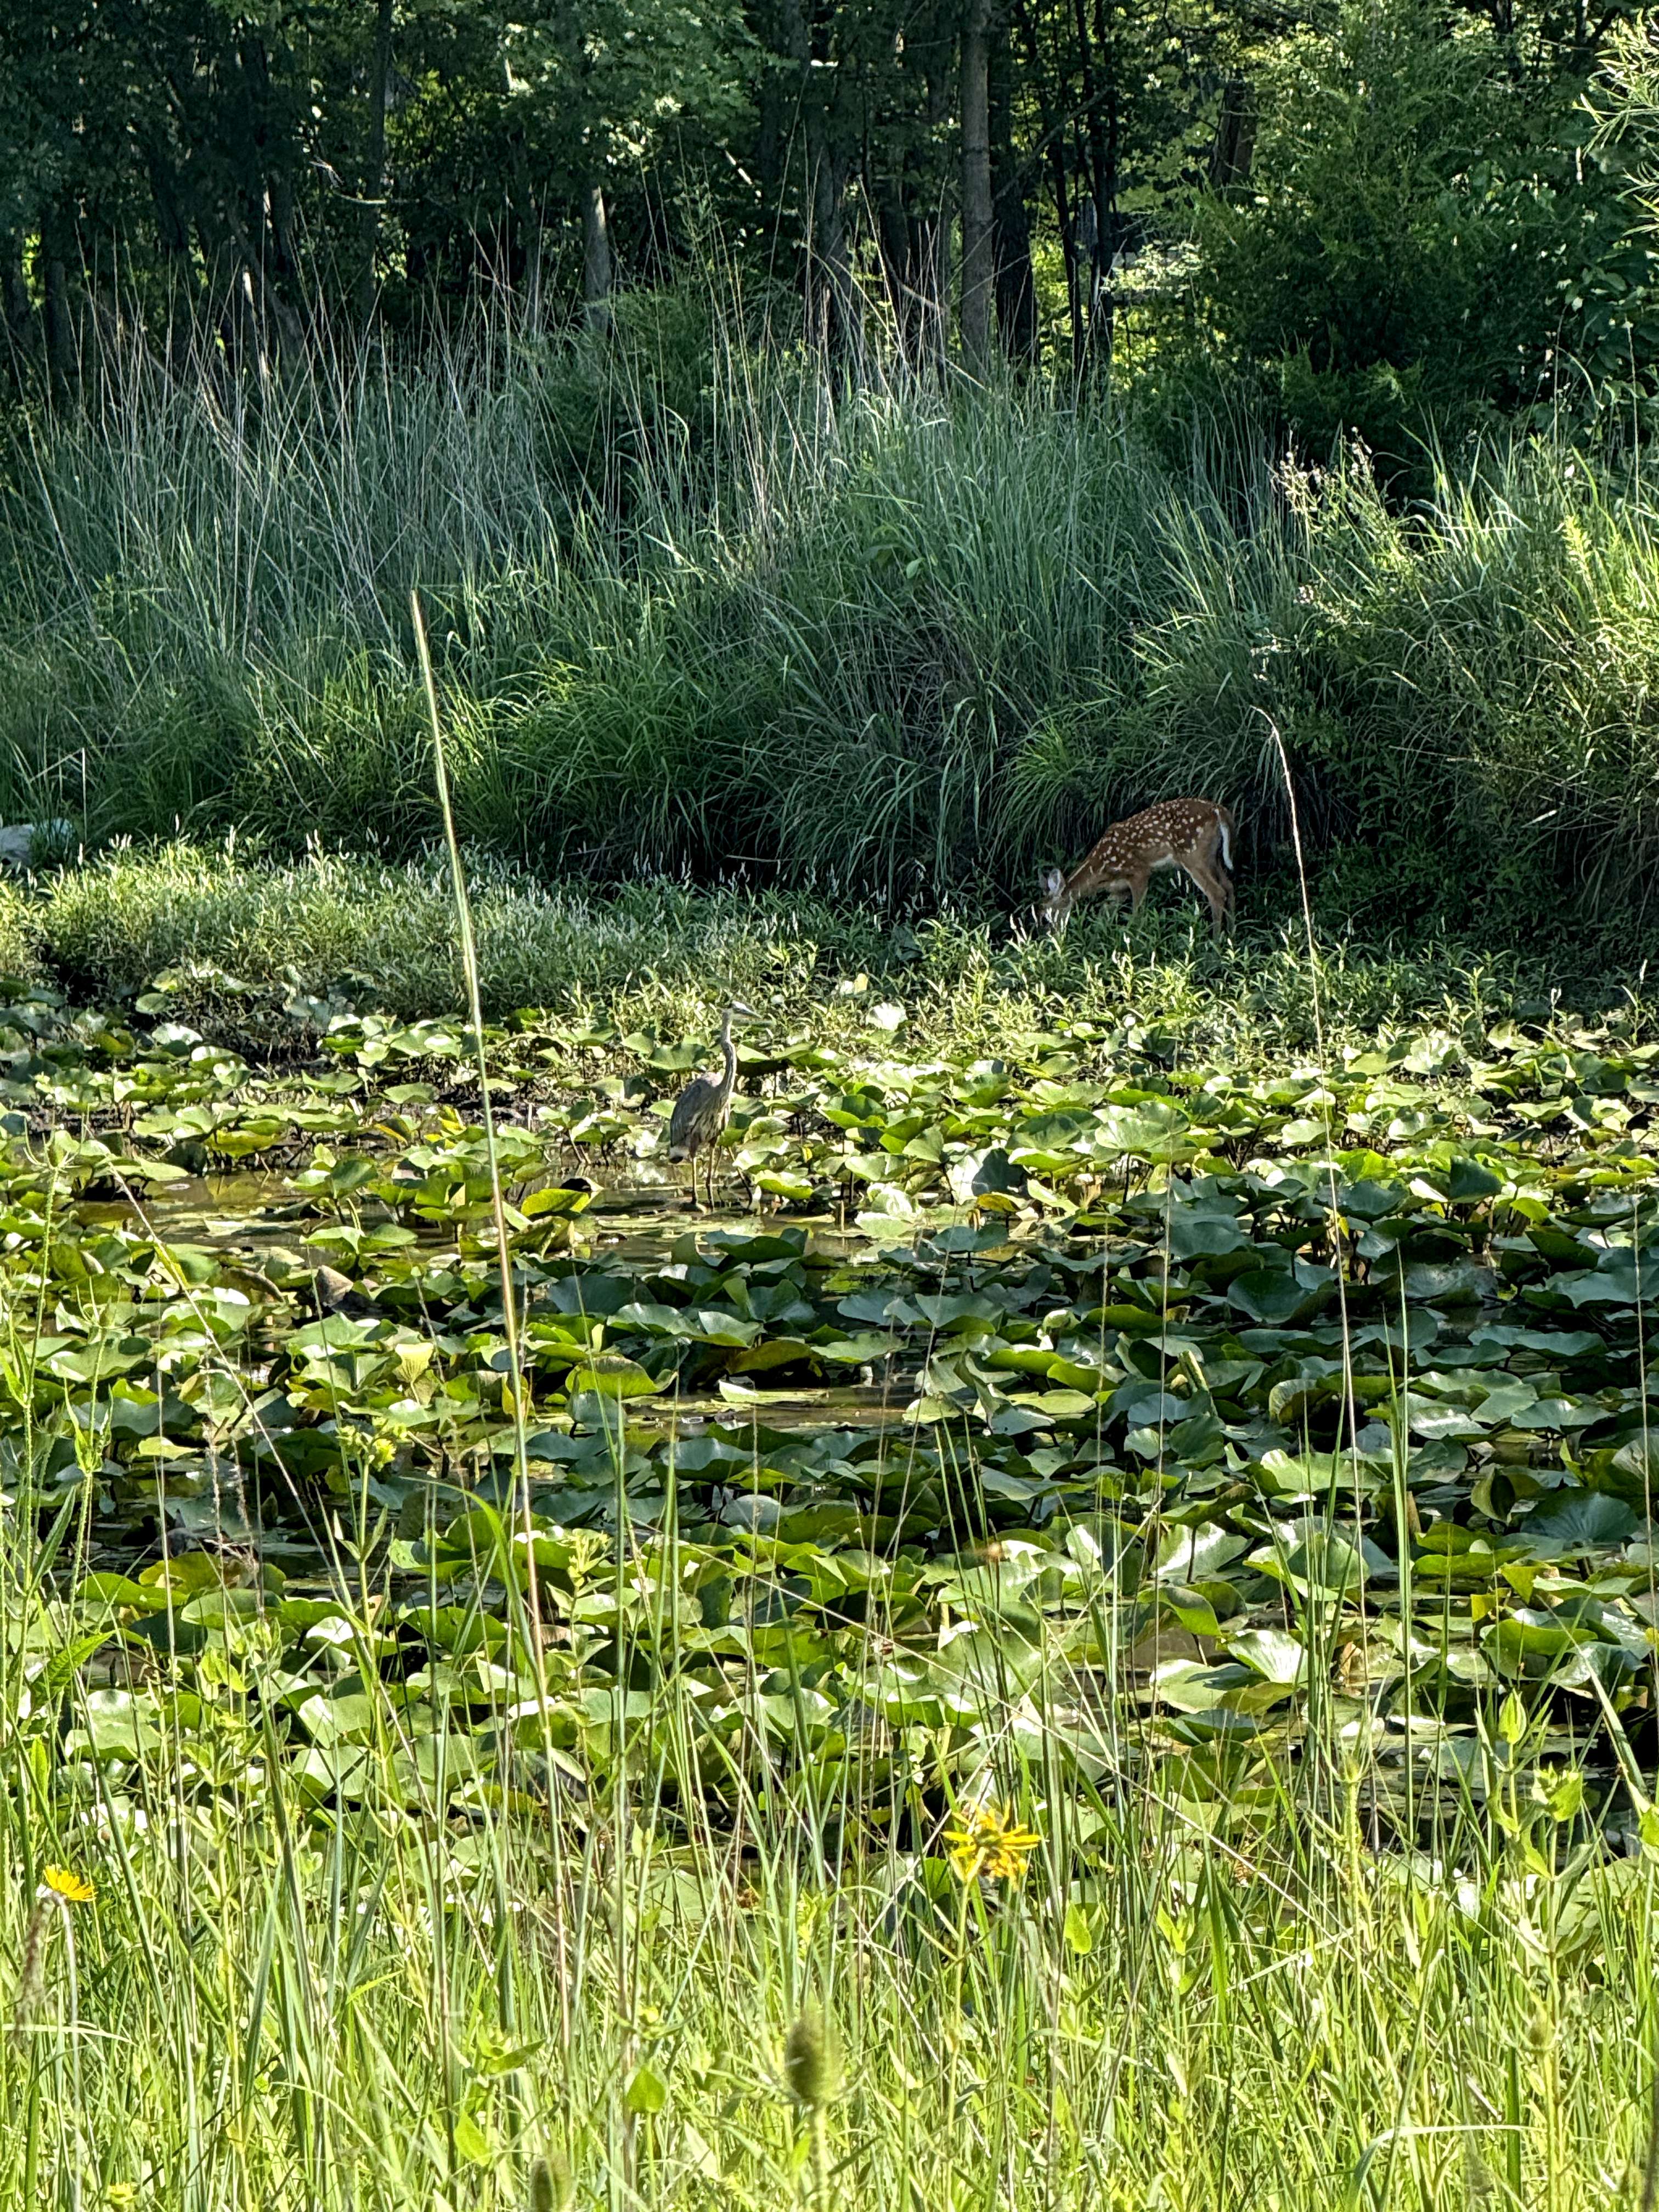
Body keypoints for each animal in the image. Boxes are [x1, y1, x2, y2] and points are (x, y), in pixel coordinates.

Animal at [1038, 797, 1236, 941]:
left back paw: (1215, 942)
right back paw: (1231, 934)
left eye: (1047, 916)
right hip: (1212, 856)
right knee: (1229, 886)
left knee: (1216, 892)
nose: (1053, 937)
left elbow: (1136, 915)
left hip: (1193, 855)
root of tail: (1218, 810)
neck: (1101, 869)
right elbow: (1103, 915)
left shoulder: (1139, 872)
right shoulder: (1119, 890)